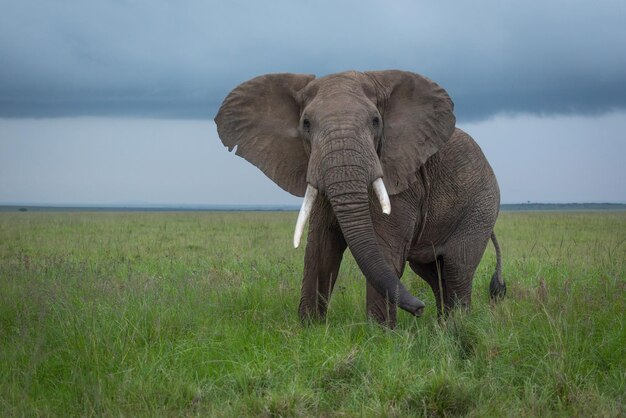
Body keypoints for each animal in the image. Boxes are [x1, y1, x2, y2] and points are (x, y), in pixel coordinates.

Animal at [213, 71, 502, 326]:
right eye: (306, 124)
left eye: (375, 121)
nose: (419, 309)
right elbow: (320, 248)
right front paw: (310, 329)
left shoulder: (401, 177)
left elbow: (384, 249)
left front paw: (380, 337)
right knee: (432, 272)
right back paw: (442, 328)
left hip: (481, 205)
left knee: (456, 267)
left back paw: (456, 328)